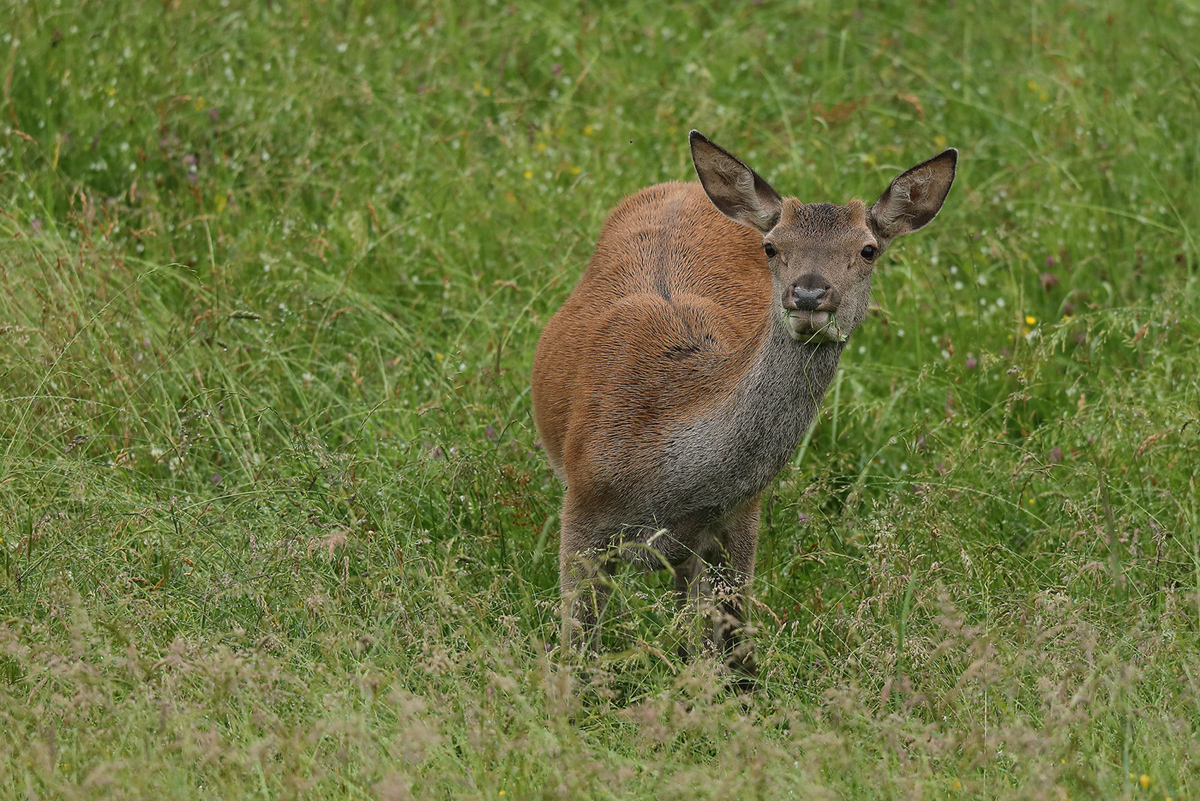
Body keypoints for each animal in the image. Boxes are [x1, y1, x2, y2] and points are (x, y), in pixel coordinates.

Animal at [532, 131, 955, 690]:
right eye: (772, 246)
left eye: (868, 249)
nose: (809, 293)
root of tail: (682, 185)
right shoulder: (581, 510)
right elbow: (579, 653)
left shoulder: (739, 521)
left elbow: (738, 655)